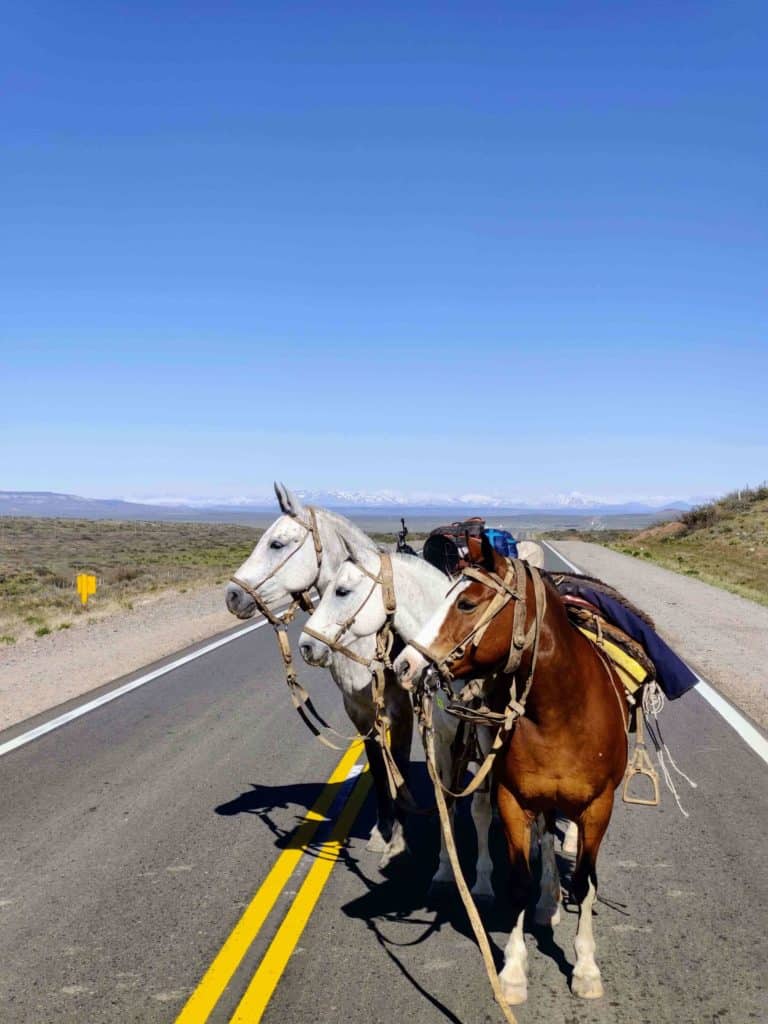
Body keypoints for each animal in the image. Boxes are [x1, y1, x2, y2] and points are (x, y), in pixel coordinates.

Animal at [227, 483, 415, 868]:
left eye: (277, 543)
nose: (232, 595)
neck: (364, 641)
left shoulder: (402, 712)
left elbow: (400, 765)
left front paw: (399, 838)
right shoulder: (360, 713)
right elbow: (378, 767)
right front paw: (383, 830)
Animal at [296, 548, 495, 901]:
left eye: (342, 591)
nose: (306, 645)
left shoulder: (484, 741)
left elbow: (481, 808)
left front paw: (483, 882)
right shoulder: (440, 739)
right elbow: (445, 805)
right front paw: (445, 872)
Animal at [397, 540, 630, 1003]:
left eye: (466, 603)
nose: (405, 664)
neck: (561, 712)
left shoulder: (598, 808)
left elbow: (585, 884)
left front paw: (586, 969)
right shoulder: (513, 800)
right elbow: (519, 882)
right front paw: (513, 972)